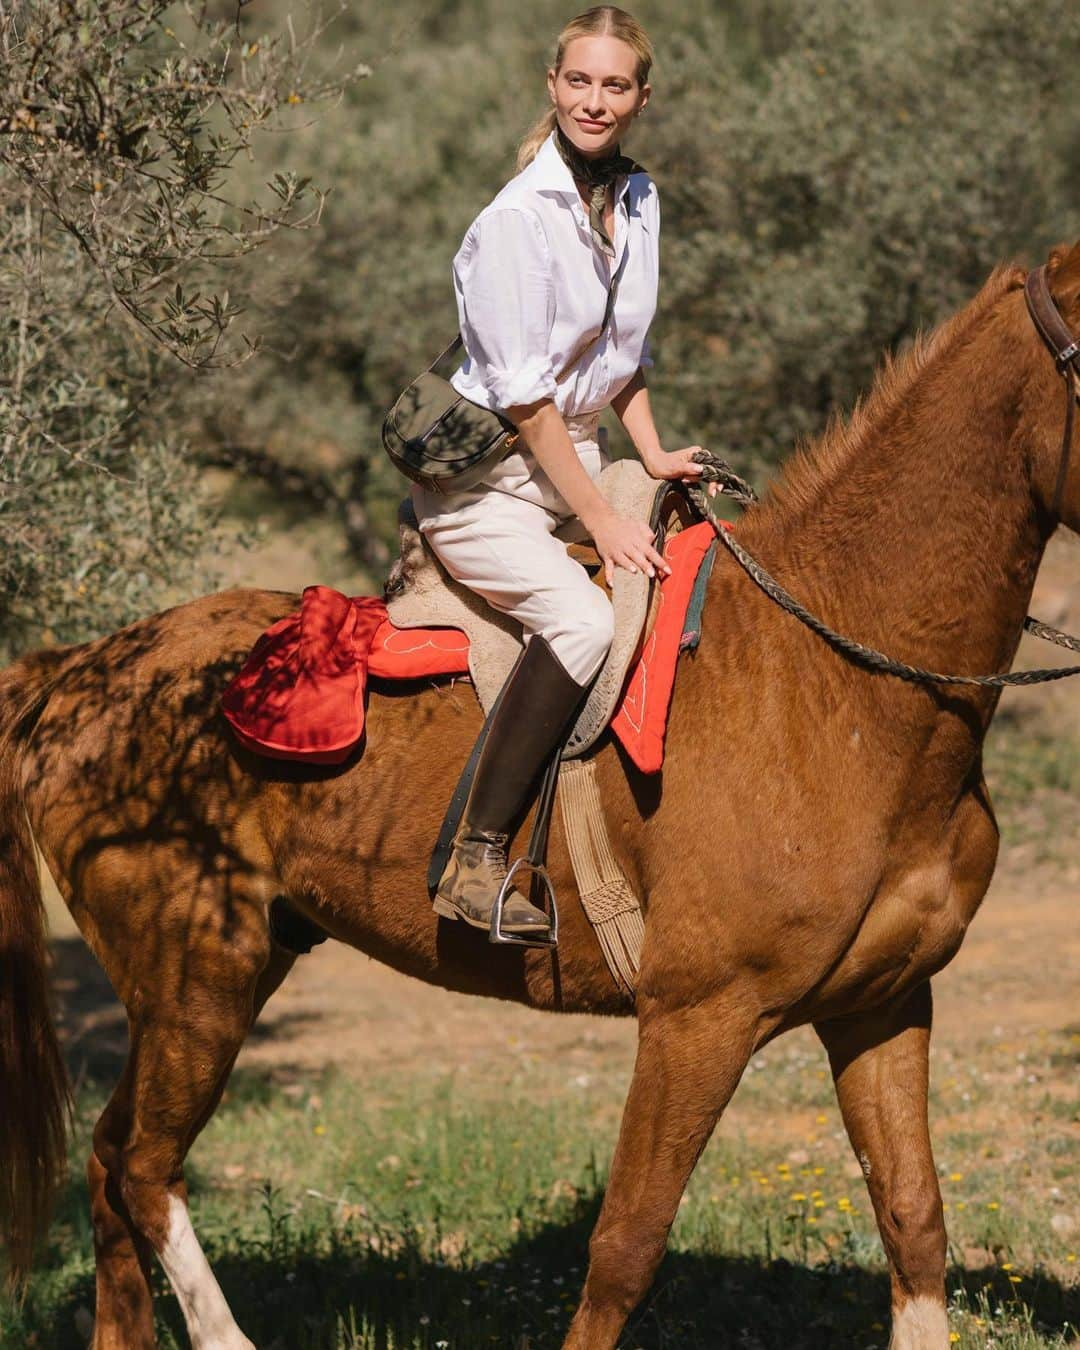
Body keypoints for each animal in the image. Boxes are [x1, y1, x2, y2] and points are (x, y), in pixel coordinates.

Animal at [0, 237, 1074, 1344]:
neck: (831, 680)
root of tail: (77, 670)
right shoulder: (698, 1020)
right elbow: (625, 1250)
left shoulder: (885, 1002)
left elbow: (912, 1218)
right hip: (198, 982)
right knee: (144, 1168)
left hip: (220, 976)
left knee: (111, 1164)